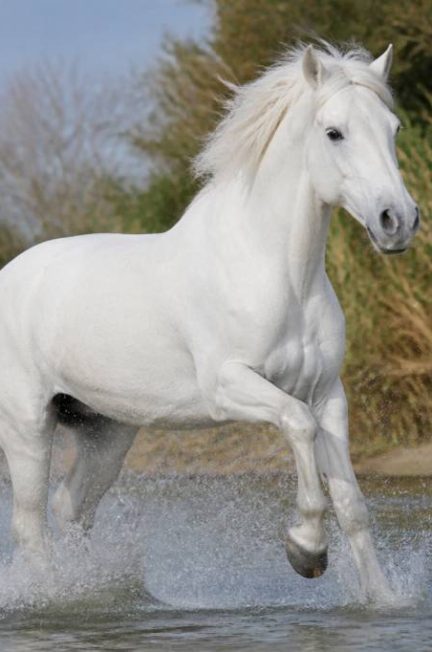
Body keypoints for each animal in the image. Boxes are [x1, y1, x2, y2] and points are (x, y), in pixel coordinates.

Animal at [0, 43, 419, 601]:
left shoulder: (328, 393)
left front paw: (383, 599)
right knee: (30, 525)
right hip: (26, 425)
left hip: (106, 431)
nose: (398, 221)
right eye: (334, 132)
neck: (280, 274)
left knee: (70, 508)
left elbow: (353, 504)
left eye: (393, 128)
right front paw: (306, 549)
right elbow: (297, 425)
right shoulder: (230, 386)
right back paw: (53, 596)